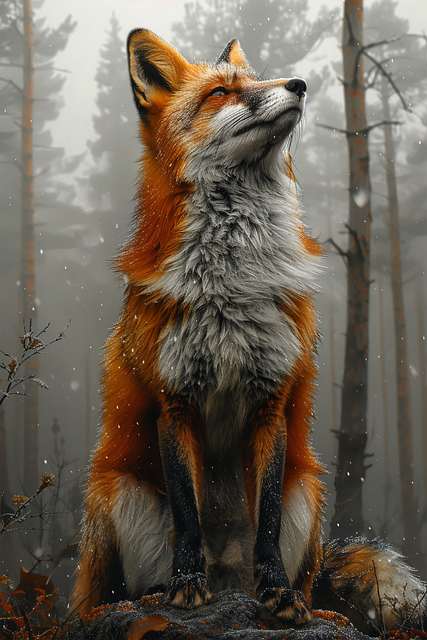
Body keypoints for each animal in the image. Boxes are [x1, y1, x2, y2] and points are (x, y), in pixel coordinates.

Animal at [72, 29, 426, 633]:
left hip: (309, 490)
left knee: (289, 565)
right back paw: (155, 596)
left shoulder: (270, 400)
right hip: (117, 491)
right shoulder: (175, 401)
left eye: (260, 80)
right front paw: (186, 586)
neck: (230, 289)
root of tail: (227, 577)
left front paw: (279, 595)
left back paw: (290, 597)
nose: (300, 83)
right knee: (129, 587)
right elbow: (188, 518)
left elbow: (267, 525)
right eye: (221, 93)